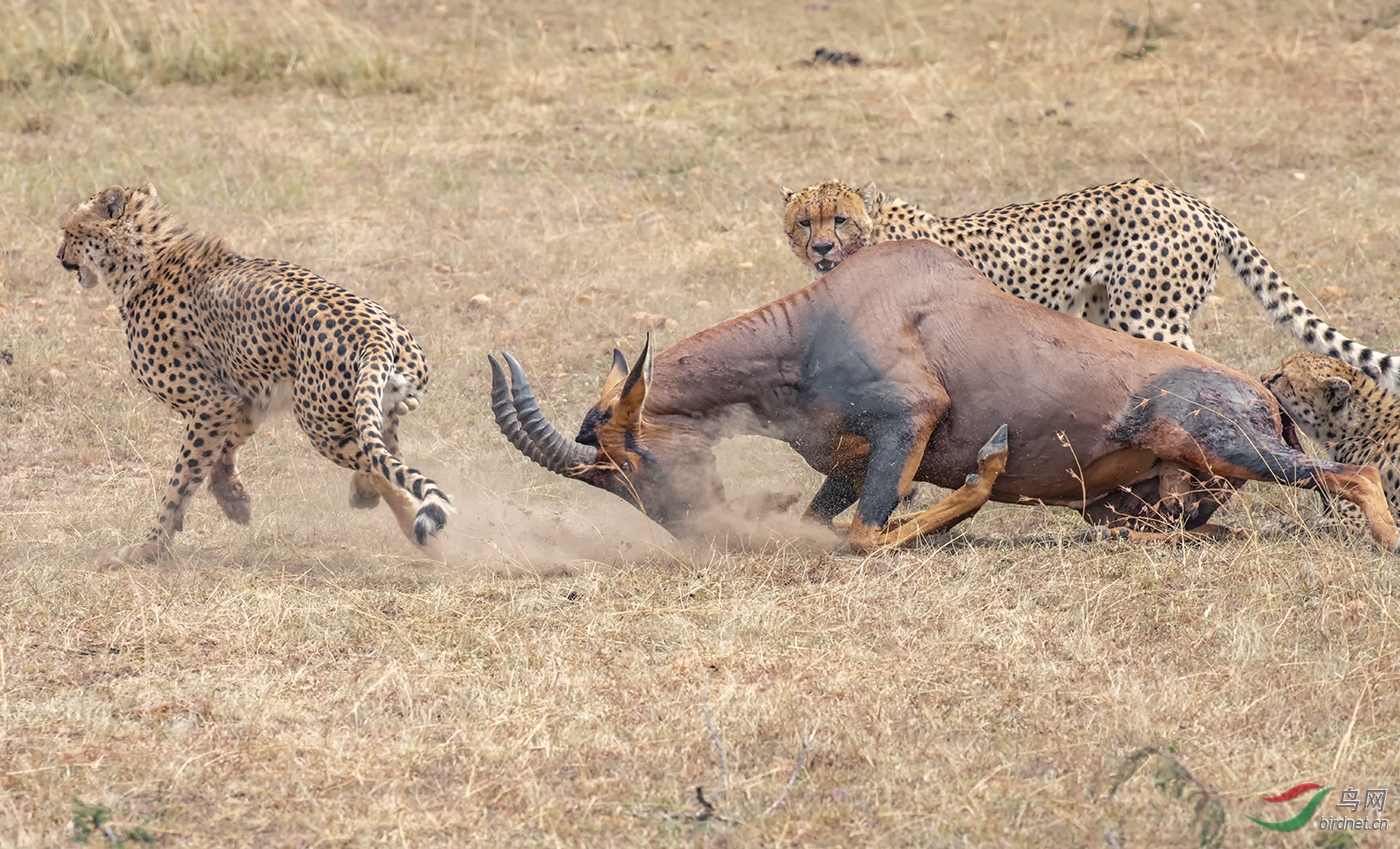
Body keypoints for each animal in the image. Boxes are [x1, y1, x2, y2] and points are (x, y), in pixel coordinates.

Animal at [487, 240, 1394, 560]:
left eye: (625, 458)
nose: (702, 535)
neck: (826, 317)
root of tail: (1262, 397)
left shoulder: (910, 419)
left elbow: (862, 534)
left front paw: (986, 472)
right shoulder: (854, 459)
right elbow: (834, 525)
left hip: (1218, 437)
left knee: (1349, 475)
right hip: (1125, 504)